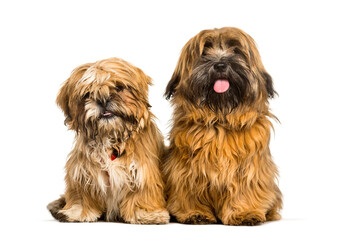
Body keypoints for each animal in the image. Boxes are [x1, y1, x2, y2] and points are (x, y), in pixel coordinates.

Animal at [47, 57, 168, 224]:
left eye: (118, 87)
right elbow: (81, 194)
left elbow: (142, 192)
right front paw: (78, 211)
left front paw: (144, 213)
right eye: (88, 93)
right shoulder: (82, 171)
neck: (110, 136)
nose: (103, 99)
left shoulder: (142, 170)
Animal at [163, 27, 280, 226]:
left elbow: (245, 188)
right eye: (204, 51)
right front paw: (195, 212)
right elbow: (189, 191)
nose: (220, 65)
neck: (220, 121)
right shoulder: (187, 170)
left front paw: (245, 212)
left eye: (236, 50)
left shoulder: (249, 168)